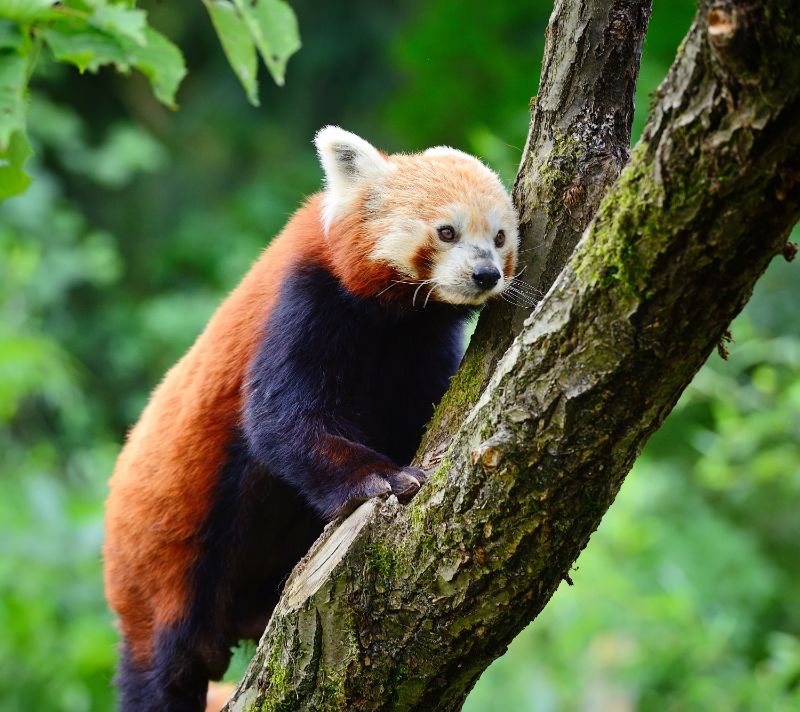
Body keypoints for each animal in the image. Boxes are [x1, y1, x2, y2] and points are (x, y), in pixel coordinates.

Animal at [103, 125, 520, 708]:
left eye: (500, 237)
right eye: (447, 231)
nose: (485, 274)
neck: (391, 322)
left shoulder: (416, 349)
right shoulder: (306, 299)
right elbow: (280, 419)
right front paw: (381, 478)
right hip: (166, 574)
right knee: (164, 672)